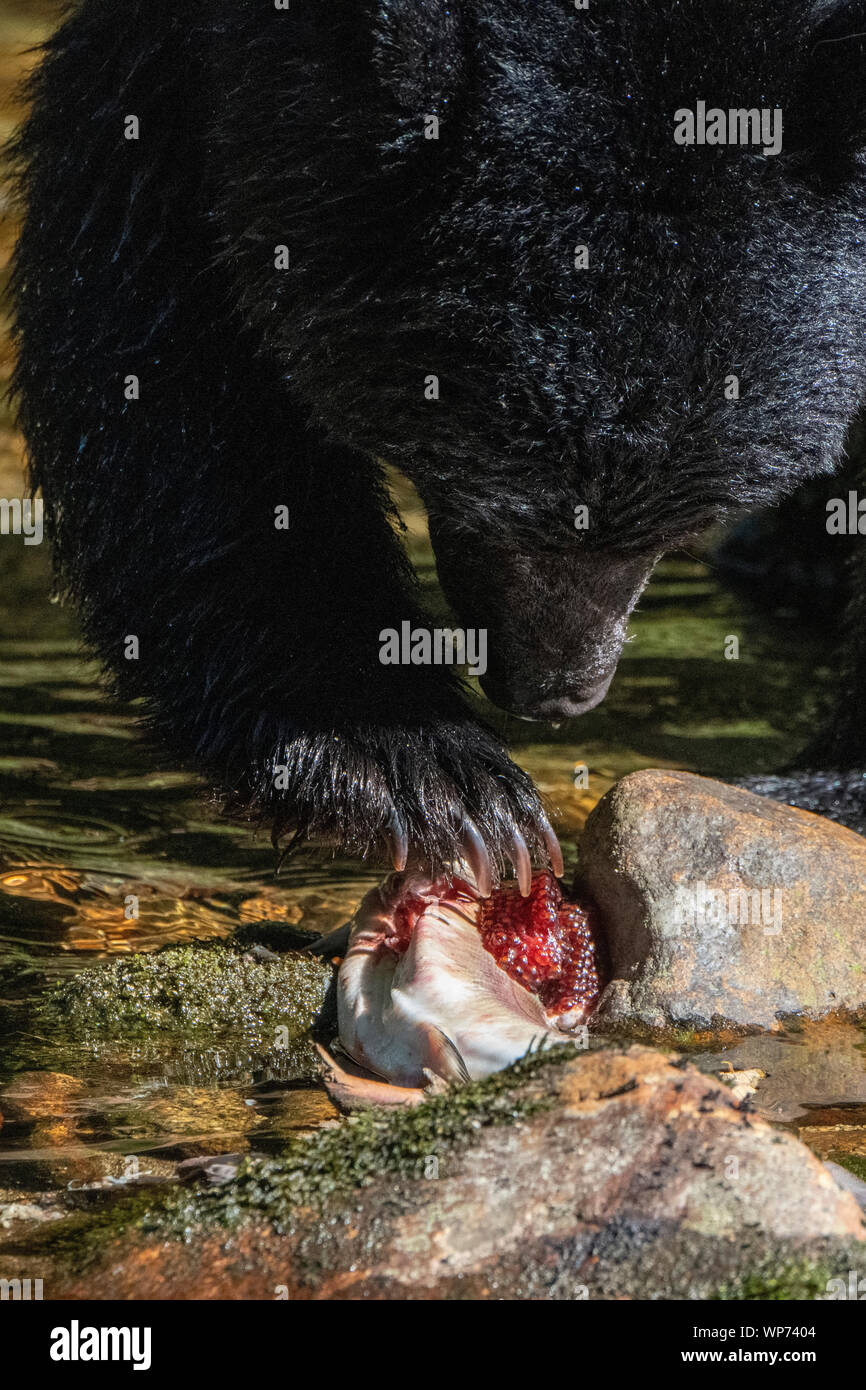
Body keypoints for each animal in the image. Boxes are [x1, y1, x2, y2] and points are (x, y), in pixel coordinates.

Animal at [10, 0, 866, 884]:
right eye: (482, 495)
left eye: (683, 522)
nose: (552, 693)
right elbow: (159, 291)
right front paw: (419, 768)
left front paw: (829, 784)